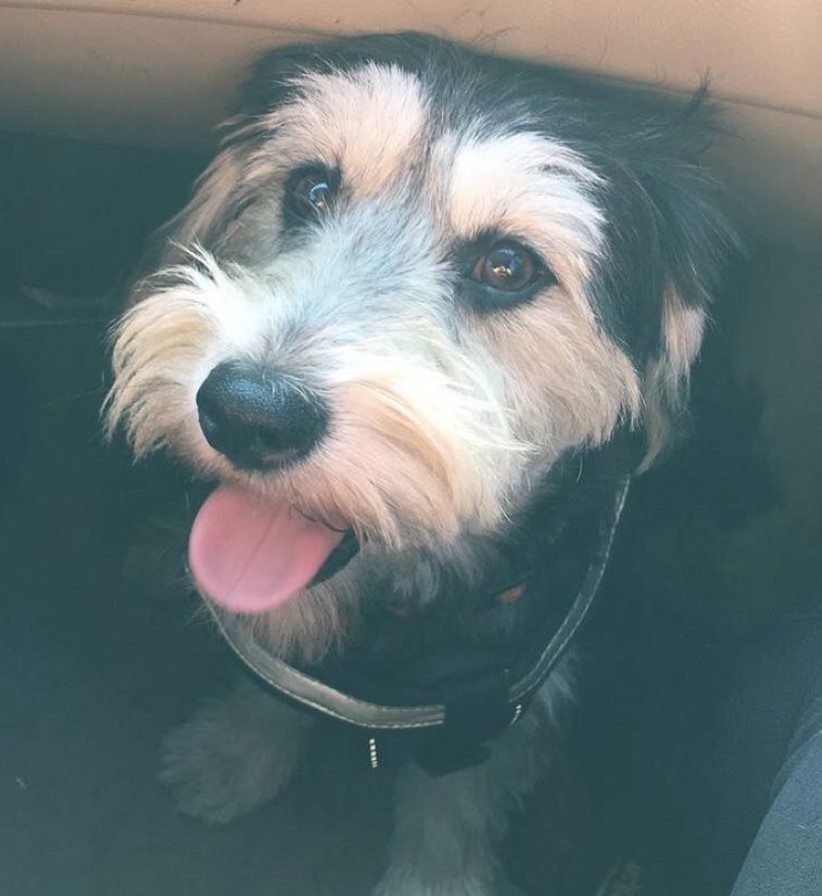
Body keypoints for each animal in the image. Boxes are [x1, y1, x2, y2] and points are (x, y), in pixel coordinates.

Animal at [104, 31, 732, 892]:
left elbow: (454, 809)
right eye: (311, 190)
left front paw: (432, 875)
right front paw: (234, 756)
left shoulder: (500, 705)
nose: (248, 412)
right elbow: (277, 685)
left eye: (509, 266)